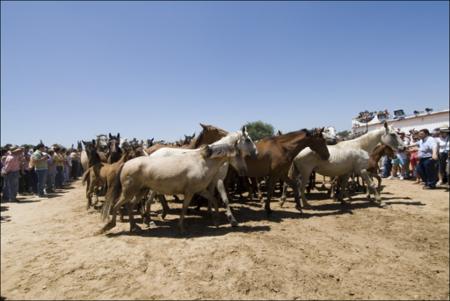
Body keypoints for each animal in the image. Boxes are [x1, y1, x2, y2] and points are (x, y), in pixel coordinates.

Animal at [98, 127, 256, 234]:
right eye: (248, 140)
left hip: (141, 191)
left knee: (131, 205)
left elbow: (214, 200)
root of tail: (126, 164)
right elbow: (189, 206)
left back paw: (137, 225)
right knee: (119, 205)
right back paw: (114, 225)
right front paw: (182, 227)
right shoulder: (196, 189)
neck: (203, 161)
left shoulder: (202, 188)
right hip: (130, 192)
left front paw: (216, 220)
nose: (255, 153)